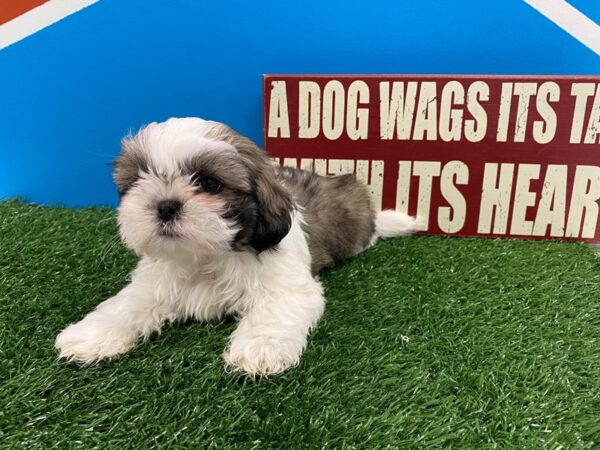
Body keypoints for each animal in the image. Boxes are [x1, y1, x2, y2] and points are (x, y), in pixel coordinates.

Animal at [55, 118, 418, 374]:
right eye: (138, 180)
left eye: (209, 183)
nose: (165, 205)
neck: (206, 254)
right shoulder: (153, 283)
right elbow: (126, 305)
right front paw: (91, 335)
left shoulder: (287, 287)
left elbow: (274, 313)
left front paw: (261, 349)